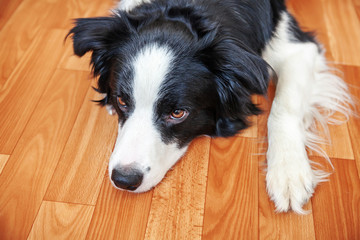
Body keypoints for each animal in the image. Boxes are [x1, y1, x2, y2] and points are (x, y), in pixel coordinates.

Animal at [67, 0, 352, 214]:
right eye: (122, 100)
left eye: (177, 113)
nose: (124, 180)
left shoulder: (296, 46)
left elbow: (283, 107)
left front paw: (288, 173)